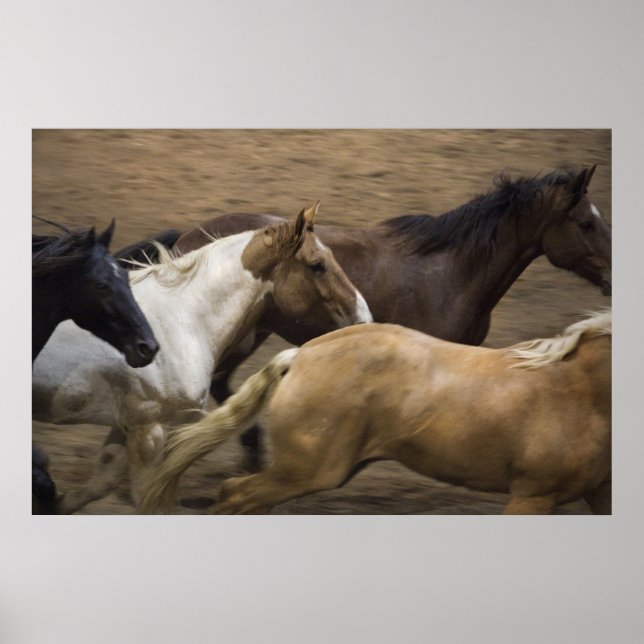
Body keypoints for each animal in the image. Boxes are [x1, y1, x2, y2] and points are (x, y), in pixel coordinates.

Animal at [140, 310, 611, 515]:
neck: (580, 391)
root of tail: (302, 355)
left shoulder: (599, 491)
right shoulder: (532, 496)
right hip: (307, 470)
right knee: (234, 494)